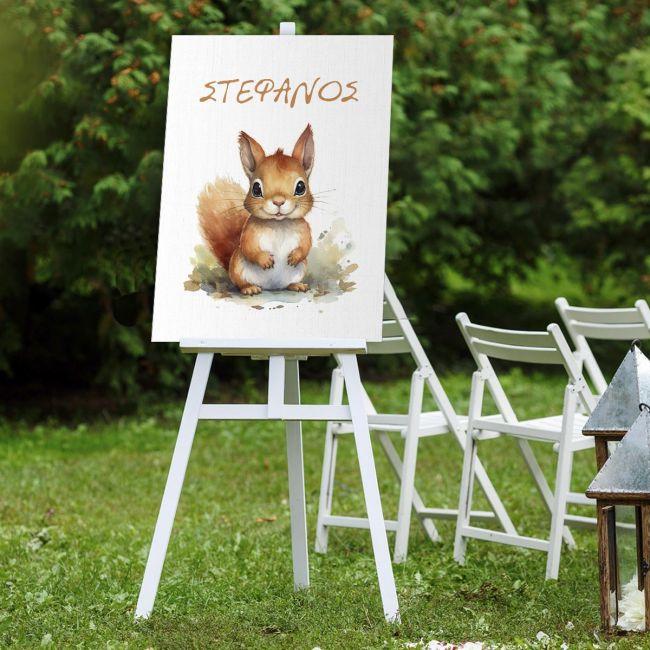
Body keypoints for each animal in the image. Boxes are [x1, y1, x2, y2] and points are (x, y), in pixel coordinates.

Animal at [198, 125, 314, 296]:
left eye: (301, 187)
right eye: (256, 189)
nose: (278, 201)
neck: (278, 224)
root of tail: (272, 287)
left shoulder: (304, 230)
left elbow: (306, 246)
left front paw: (295, 256)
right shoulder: (250, 232)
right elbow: (249, 247)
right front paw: (265, 260)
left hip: (301, 269)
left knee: (289, 283)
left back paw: (297, 285)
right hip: (238, 267)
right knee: (241, 283)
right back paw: (250, 288)